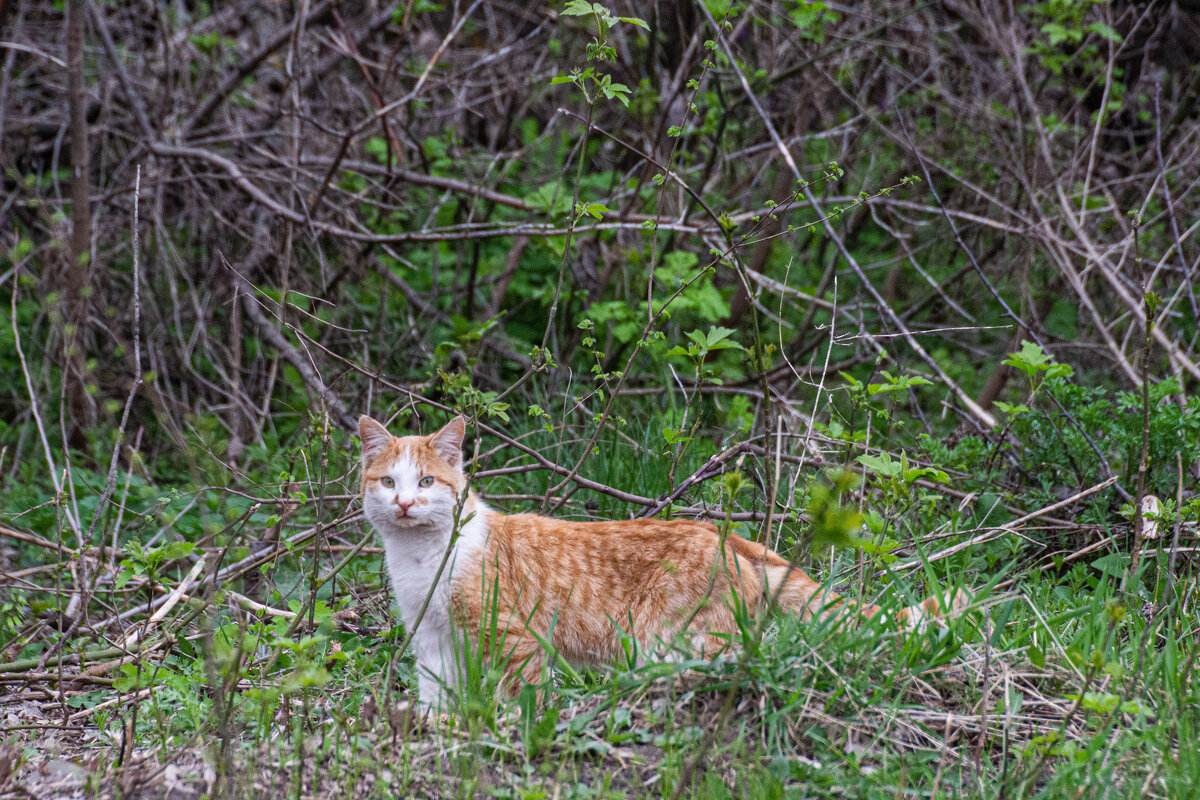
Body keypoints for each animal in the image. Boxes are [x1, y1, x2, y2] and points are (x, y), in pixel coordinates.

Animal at [357, 417, 964, 705]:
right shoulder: (432, 641)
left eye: (427, 482)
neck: (421, 558)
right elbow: (437, 698)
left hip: (668, 640)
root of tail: (726, 537)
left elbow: (524, 696)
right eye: (388, 481)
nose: (405, 503)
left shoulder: (510, 634)